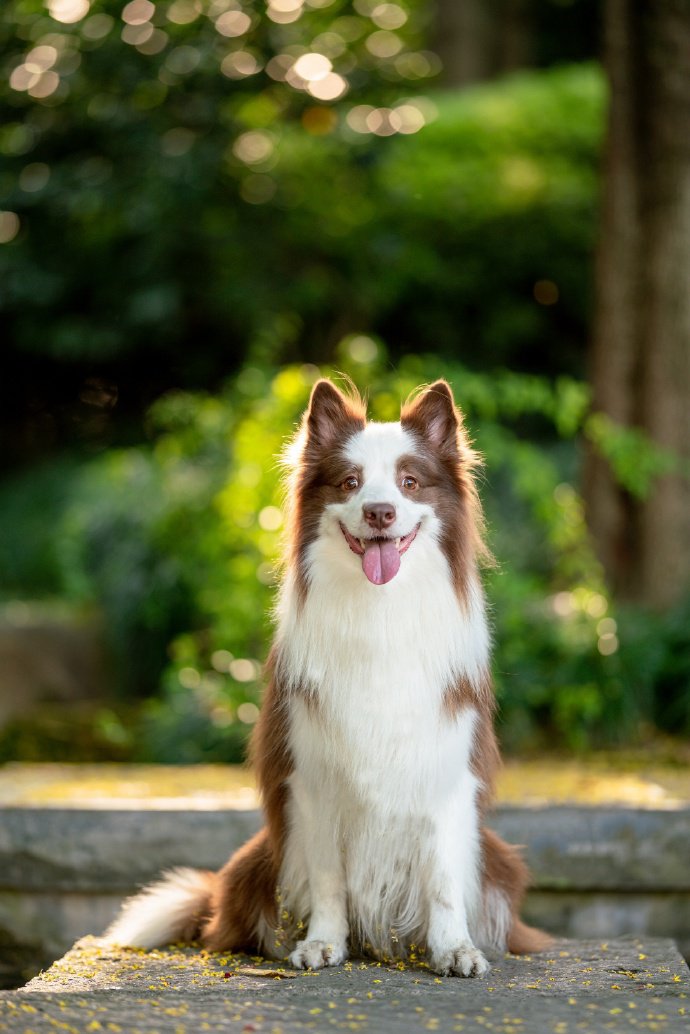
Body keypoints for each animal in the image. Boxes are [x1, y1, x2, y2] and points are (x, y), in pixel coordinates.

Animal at [103, 378, 550, 976]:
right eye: (350, 482)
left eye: (409, 482)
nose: (380, 512)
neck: (379, 611)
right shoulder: (312, 781)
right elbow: (328, 878)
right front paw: (323, 942)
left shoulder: (446, 773)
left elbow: (443, 880)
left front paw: (454, 949)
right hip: (256, 860)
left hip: (498, 862)